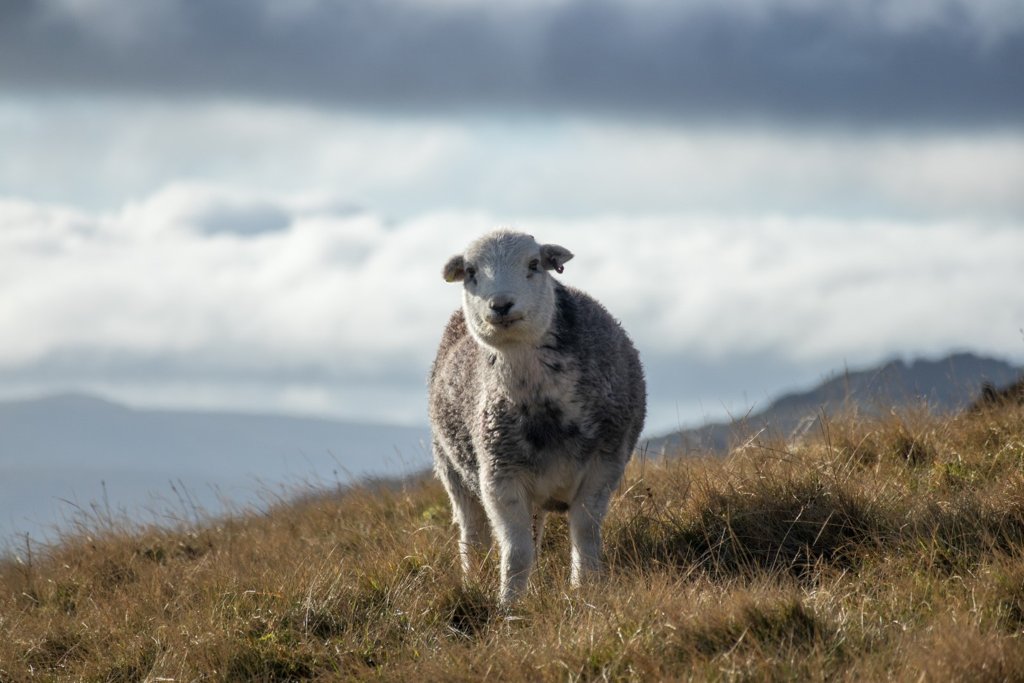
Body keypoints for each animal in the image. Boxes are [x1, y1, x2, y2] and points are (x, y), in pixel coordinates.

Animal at [428, 231, 643, 602]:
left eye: (534, 264)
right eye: (470, 272)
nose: (500, 305)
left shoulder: (604, 464)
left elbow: (585, 533)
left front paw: (585, 588)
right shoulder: (499, 478)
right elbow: (516, 552)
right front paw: (509, 603)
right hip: (452, 470)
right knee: (473, 534)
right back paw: (473, 583)